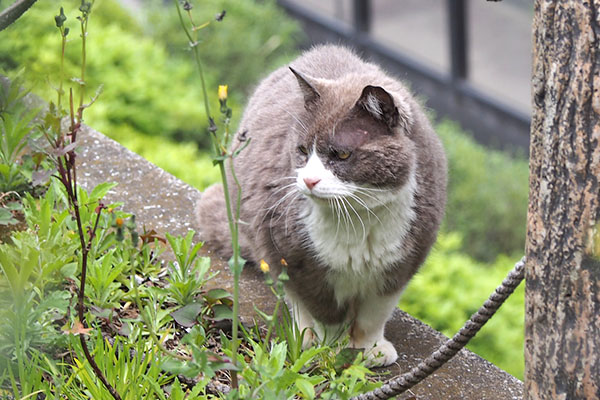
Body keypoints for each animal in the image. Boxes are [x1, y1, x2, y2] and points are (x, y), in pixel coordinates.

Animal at [197, 45, 446, 368]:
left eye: (342, 154)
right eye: (303, 150)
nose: (309, 180)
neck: (357, 217)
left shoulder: (401, 264)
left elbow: (374, 313)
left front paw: (371, 350)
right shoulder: (297, 259)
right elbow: (326, 313)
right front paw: (332, 351)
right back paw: (305, 337)